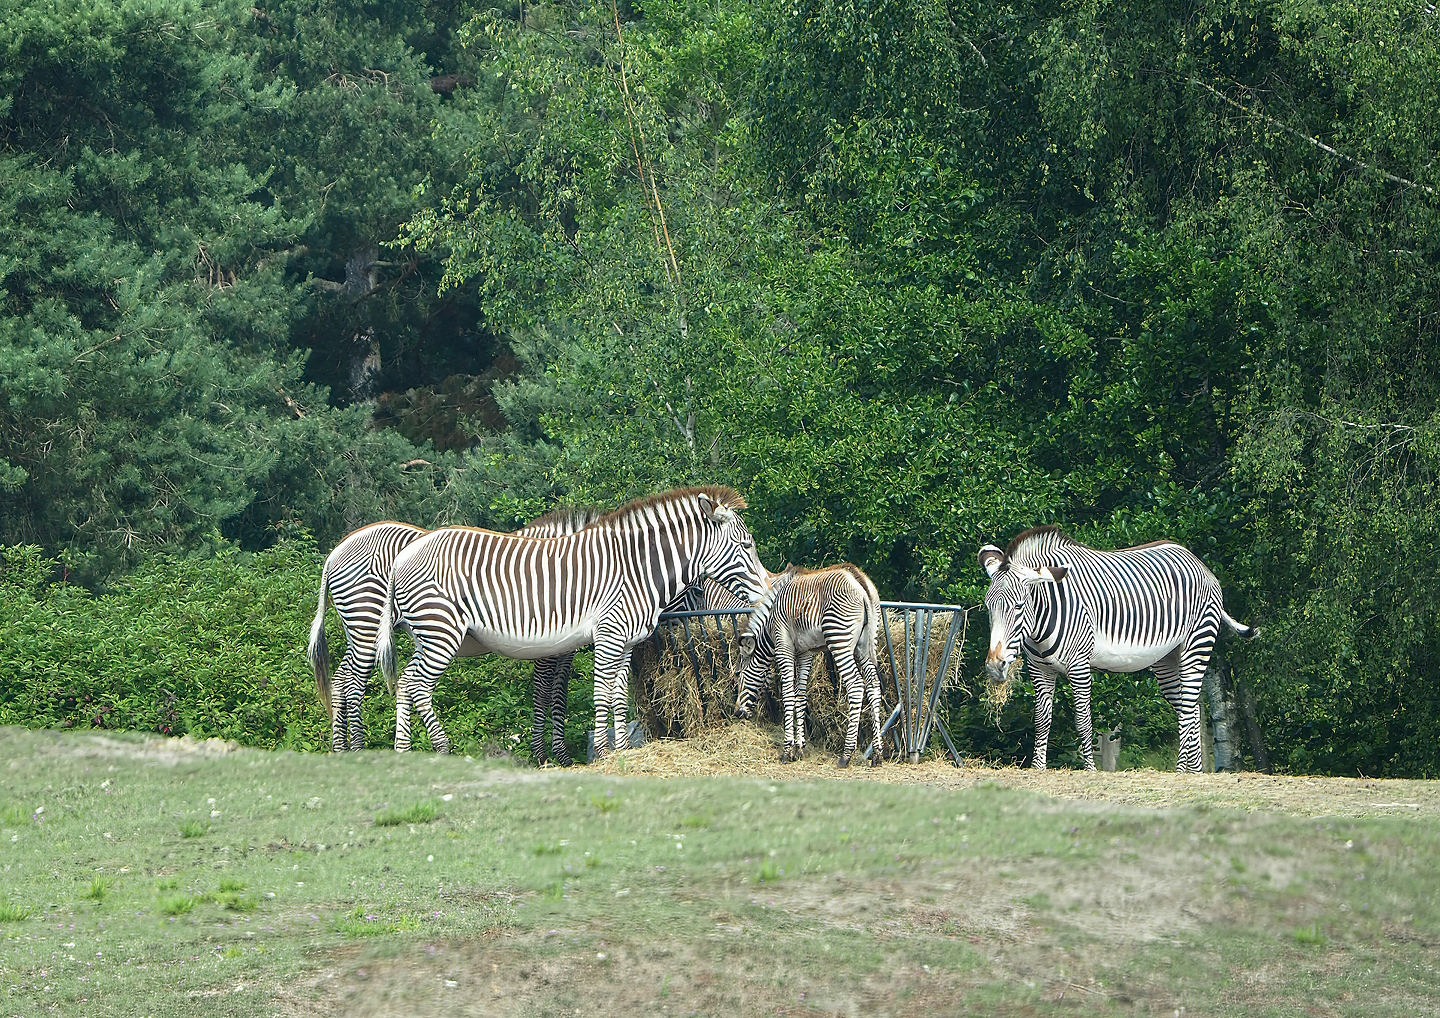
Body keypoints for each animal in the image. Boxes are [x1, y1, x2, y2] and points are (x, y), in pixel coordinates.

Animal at [306, 507, 606, 756]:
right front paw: (542, 754)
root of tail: (335, 551)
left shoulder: (565, 648)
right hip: (367, 623)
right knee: (354, 683)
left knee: (341, 679)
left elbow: (559, 694)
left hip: (356, 630)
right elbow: (543, 692)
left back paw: (342, 747)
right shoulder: (544, 643)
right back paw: (357, 747)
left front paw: (561, 755)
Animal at [376, 486, 769, 756]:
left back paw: (403, 751)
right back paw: (440, 749)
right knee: (416, 685)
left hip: (424, 634)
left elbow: (617, 697)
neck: (635, 570)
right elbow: (598, 693)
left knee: (406, 682)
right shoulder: (607, 635)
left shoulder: (625, 642)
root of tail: (406, 554)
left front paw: (621, 749)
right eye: (746, 546)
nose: (767, 592)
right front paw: (600, 753)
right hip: (441, 631)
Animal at [734, 564, 885, 767]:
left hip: (839, 638)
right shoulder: (804, 653)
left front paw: (787, 751)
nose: (737, 713)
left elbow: (788, 695)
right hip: (866, 643)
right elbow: (800, 695)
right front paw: (799, 748)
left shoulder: (783, 646)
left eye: (739, 674)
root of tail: (857, 578)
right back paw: (877, 754)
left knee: (855, 685)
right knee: (873, 685)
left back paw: (846, 755)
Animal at [978, 526, 1256, 772]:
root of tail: (1198, 561)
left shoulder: (1079, 665)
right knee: (1192, 708)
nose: (994, 666)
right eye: (988, 607)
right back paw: (1194, 771)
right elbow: (1041, 720)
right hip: (1167, 659)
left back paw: (1181, 770)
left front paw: (1090, 769)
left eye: (1018, 606)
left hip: (1197, 644)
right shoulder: (1040, 668)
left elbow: (1083, 720)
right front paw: (1038, 768)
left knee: (1188, 706)